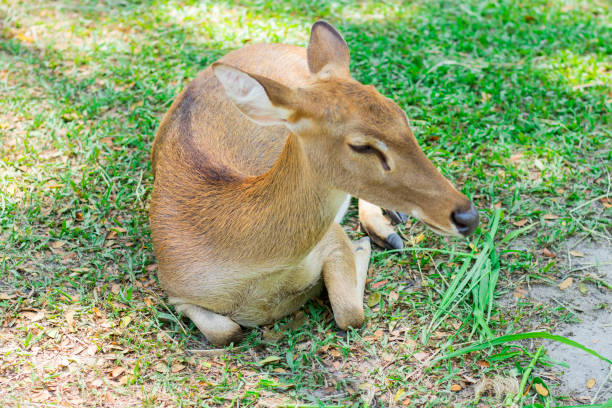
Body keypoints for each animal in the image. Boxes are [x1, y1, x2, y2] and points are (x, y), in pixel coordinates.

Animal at [149, 21, 478, 348]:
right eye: (361, 146)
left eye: (402, 116)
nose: (468, 216)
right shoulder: (174, 287)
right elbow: (226, 332)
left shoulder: (331, 236)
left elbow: (350, 314)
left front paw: (360, 248)